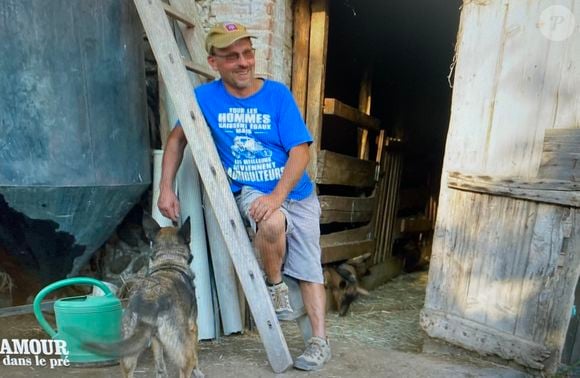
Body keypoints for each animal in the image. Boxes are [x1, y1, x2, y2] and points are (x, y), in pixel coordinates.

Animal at [85, 216, 203, 378]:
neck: (168, 262)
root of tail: (148, 302)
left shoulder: (155, 339)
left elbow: (159, 363)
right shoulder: (193, 327)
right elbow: (196, 356)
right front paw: (199, 372)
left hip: (128, 353)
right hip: (181, 348)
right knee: (186, 366)